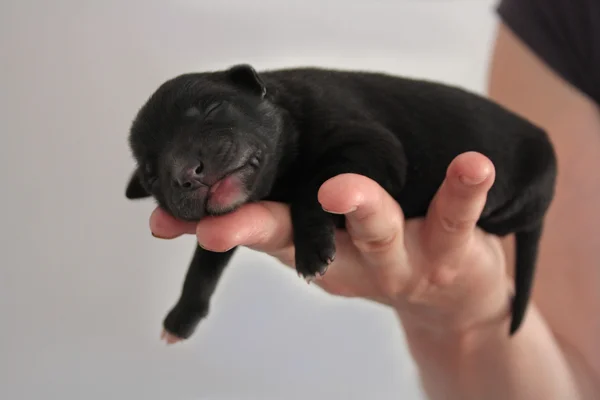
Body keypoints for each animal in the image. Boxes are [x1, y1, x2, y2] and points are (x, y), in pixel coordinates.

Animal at [125, 63, 556, 344]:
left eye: (213, 109)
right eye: (150, 171)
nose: (187, 172)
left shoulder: (373, 147)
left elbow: (316, 185)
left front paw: (313, 248)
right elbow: (205, 260)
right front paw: (182, 315)